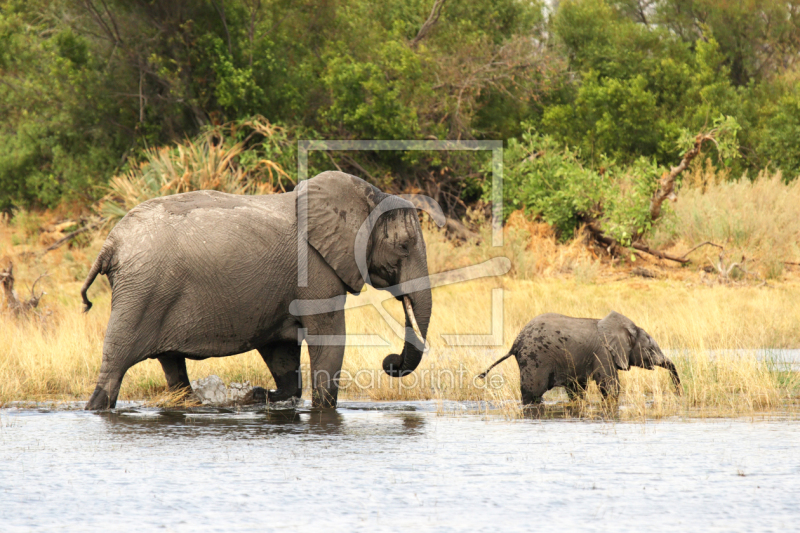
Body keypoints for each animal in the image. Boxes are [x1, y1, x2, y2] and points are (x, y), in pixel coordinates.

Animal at [81, 170, 434, 408]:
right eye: (404, 247)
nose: (389, 362)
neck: (368, 197)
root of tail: (111, 244)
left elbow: (281, 349)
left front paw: (259, 397)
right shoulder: (315, 269)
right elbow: (328, 335)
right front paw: (322, 409)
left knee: (171, 364)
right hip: (141, 292)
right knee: (117, 362)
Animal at [482, 308, 680, 404]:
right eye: (651, 348)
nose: (679, 394)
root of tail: (516, 342)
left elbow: (577, 389)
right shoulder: (603, 352)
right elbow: (610, 386)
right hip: (534, 358)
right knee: (533, 392)